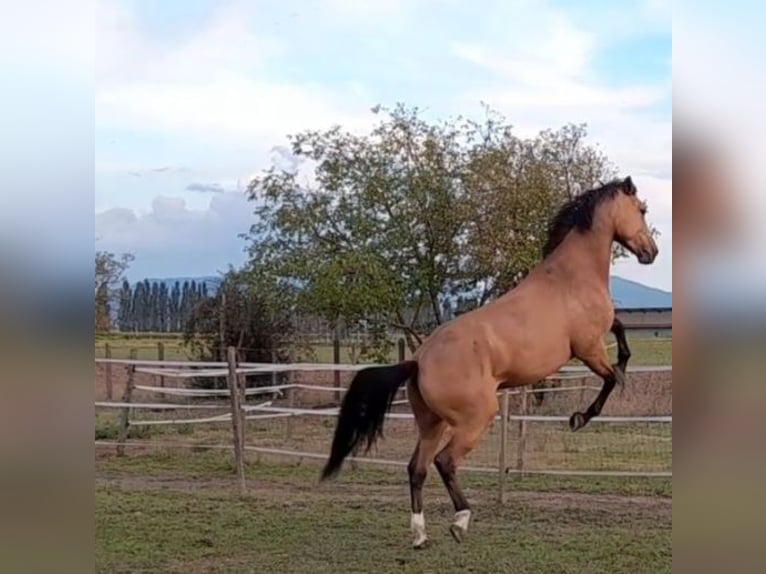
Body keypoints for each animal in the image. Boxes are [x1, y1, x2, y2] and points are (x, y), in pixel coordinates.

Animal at [319, 176, 658, 548]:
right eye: (641, 209)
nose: (652, 253)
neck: (570, 277)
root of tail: (418, 360)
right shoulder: (588, 347)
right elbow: (611, 376)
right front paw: (580, 417)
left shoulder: (599, 336)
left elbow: (622, 337)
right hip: (475, 419)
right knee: (445, 462)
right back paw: (460, 522)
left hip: (431, 423)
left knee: (417, 468)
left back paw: (421, 536)